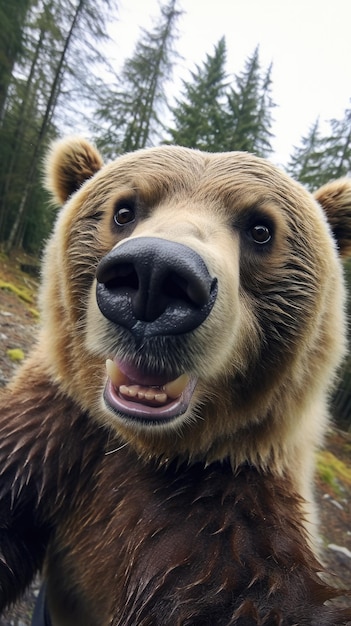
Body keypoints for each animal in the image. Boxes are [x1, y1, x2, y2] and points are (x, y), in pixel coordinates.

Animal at [0, 138, 351, 624]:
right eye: (124, 210)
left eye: (261, 229)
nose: (154, 273)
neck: (142, 443)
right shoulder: (52, 433)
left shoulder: (220, 515)